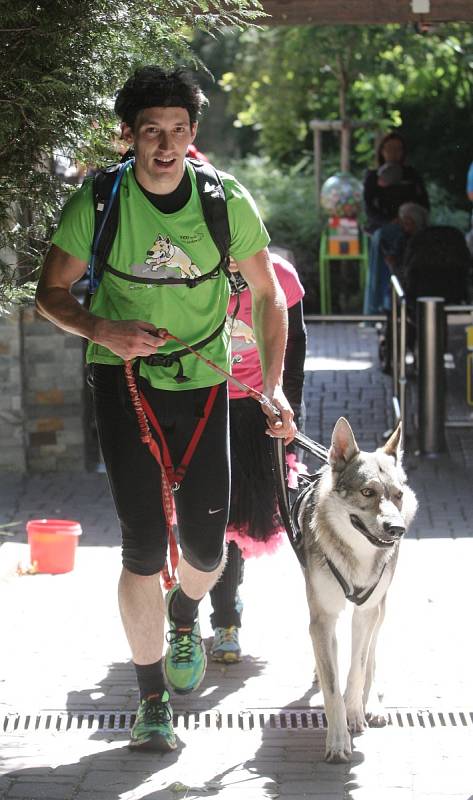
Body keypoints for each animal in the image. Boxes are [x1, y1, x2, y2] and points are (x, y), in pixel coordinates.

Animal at [298, 418, 416, 764]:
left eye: (397, 495)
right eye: (367, 492)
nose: (396, 529)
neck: (357, 557)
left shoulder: (366, 611)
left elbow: (358, 667)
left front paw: (355, 713)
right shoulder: (322, 617)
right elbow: (332, 685)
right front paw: (338, 741)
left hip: (380, 607)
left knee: (371, 654)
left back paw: (372, 704)